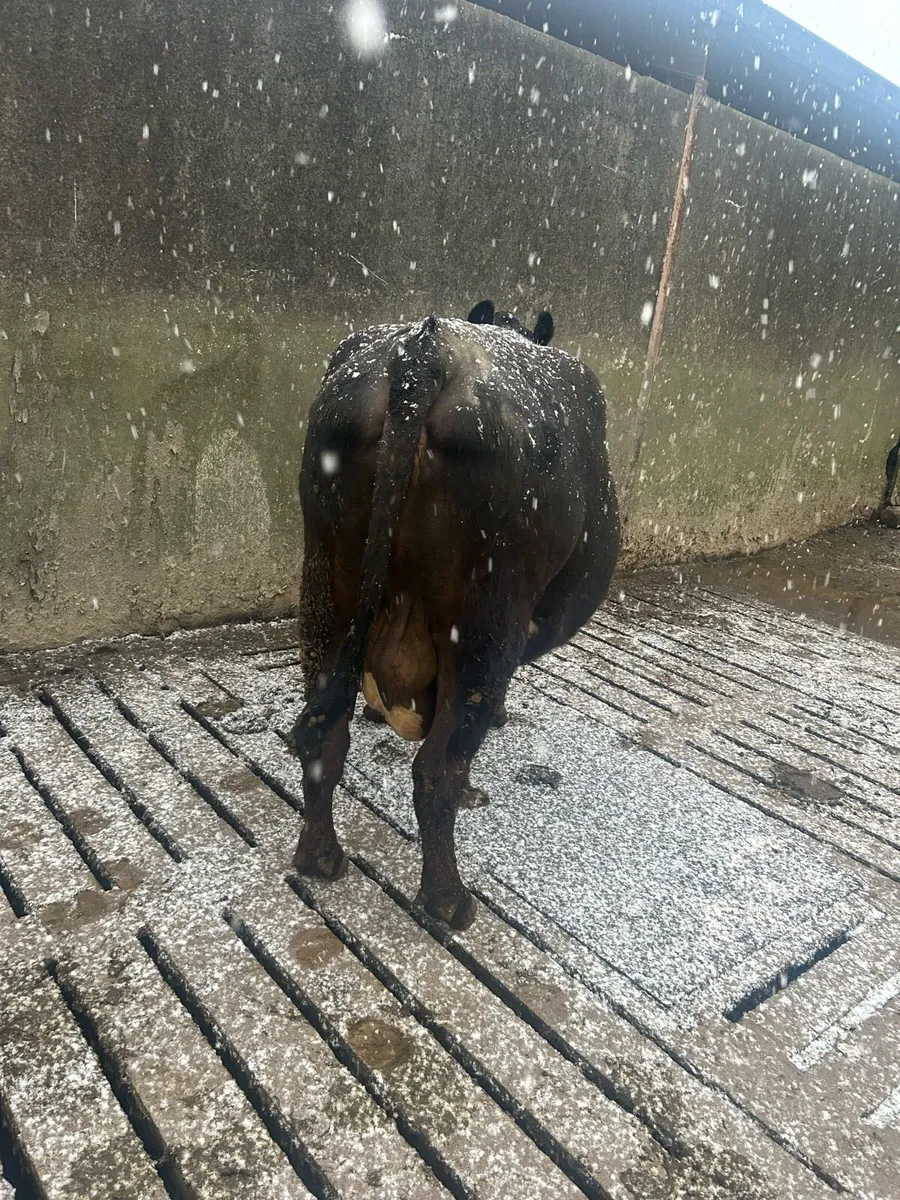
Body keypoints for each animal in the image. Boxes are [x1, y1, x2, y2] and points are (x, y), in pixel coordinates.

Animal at [290, 301, 620, 929]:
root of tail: (427, 347)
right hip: (486, 620)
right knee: (435, 767)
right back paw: (447, 898)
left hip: (324, 589)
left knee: (325, 735)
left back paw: (319, 856)